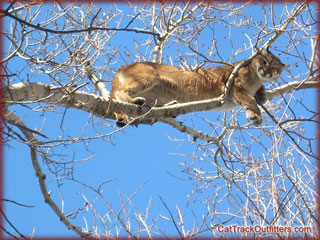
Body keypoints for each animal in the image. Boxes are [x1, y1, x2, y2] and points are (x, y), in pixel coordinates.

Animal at [110, 46, 290, 126]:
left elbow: (258, 94)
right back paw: (134, 101)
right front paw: (255, 115)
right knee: (120, 92)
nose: (267, 72)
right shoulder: (234, 86)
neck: (255, 77)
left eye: (275, 68)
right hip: (149, 76)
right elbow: (250, 100)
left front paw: (262, 94)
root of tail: (122, 67)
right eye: (264, 62)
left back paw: (170, 106)